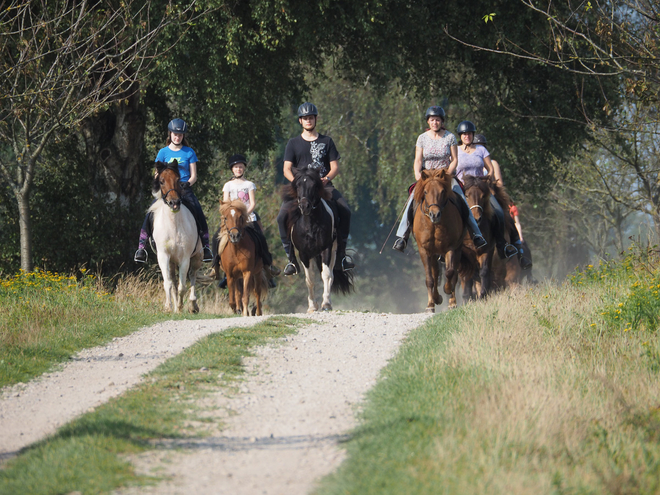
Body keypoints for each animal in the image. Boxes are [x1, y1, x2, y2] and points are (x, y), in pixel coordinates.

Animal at [150, 161, 201, 312]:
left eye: (178, 180)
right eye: (161, 181)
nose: (174, 203)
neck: (173, 225)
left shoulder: (185, 258)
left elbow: (182, 287)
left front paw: (179, 307)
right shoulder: (163, 255)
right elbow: (168, 283)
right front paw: (168, 307)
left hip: (197, 258)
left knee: (193, 276)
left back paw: (192, 305)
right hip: (172, 262)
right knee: (173, 280)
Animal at [286, 169, 354, 312]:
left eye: (314, 186)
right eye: (297, 185)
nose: (304, 206)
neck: (310, 223)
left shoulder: (326, 249)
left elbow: (326, 275)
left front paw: (326, 304)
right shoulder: (304, 254)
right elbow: (310, 279)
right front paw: (312, 306)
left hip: (333, 250)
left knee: (331, 275)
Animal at [412, 169, 474, 312]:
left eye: (442, 191)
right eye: (425, 192)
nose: (434, 215)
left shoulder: (450, 248)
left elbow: (450, 273)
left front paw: (447, 289)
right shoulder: (424, 250)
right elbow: (430, 278)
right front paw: (430, 304)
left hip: (457, 250)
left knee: (454, 273)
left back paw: (452, 302)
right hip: (434, 253)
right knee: (435, 274)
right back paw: (436, 298)